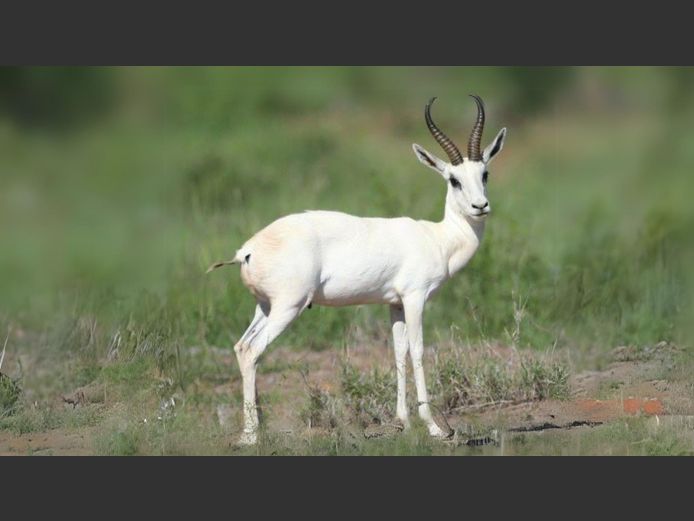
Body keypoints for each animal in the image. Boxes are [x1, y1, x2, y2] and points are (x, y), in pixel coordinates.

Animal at [207, 94, 506, 442]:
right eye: (453, 180)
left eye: (485, 174)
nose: (480, 206)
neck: (439, 238)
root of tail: (247, 250)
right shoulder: (415, 298)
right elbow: (418, 351)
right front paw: (433, 427)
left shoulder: (394, 303)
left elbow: (399, 352)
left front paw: (403, 422)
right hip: (288, 307)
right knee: (253, 352)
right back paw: (252, 436)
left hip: (264, 307)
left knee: (241, 347)